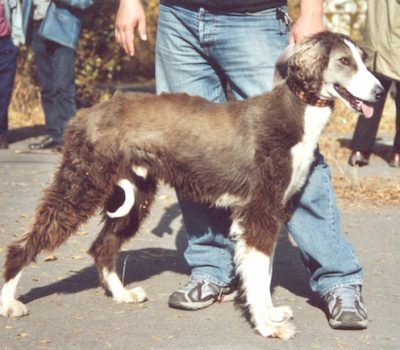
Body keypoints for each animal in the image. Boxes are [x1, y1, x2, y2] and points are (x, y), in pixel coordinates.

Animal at [0, 32, 384, 340]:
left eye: (363, 60)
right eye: (344, 61)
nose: (380, 92)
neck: (295, 112)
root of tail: (84, 115)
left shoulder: (273, 211)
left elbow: (264, 271)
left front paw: (271, 314)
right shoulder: (259, 211)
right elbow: (259, 275)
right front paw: (267, 325)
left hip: (135, 196)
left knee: (101, 247)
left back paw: (122, 294)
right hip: (78, 187)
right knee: (23, 245)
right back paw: (9, 303)